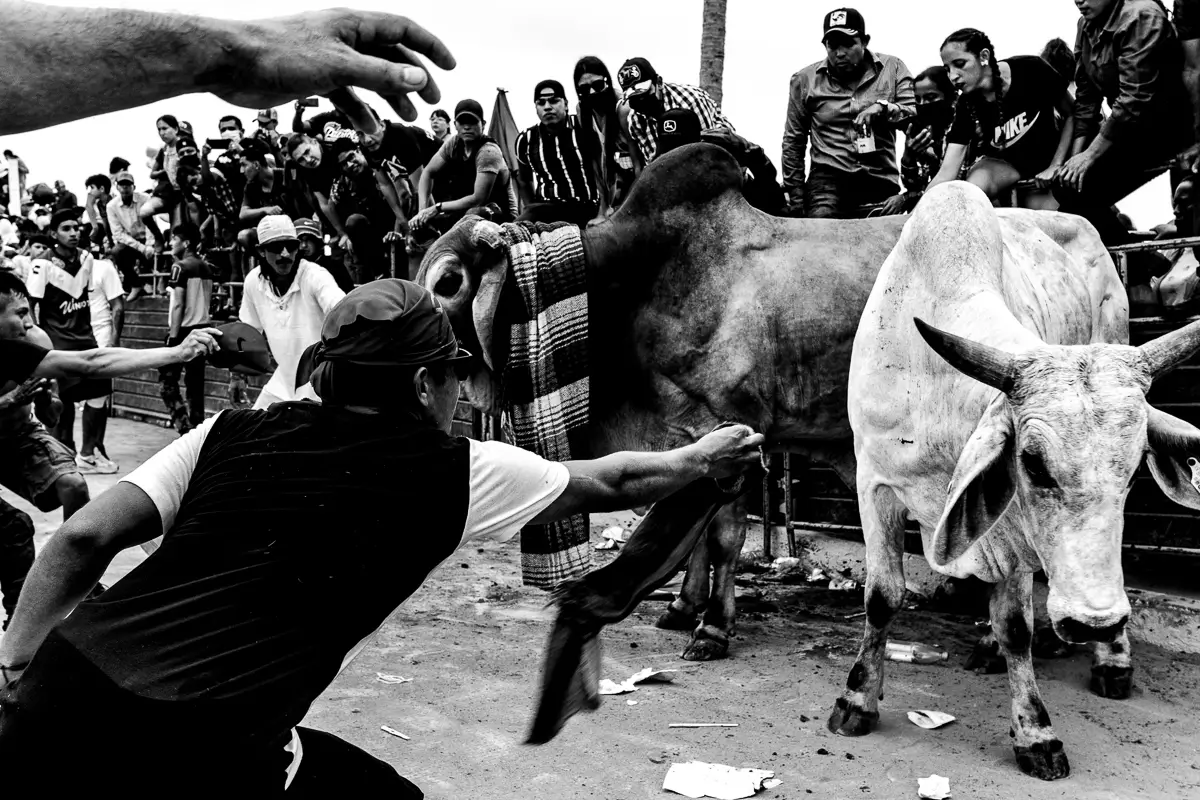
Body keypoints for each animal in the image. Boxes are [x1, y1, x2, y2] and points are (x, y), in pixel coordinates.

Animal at [835, 183, 1200, 782]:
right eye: (1032, 463)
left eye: (1130, 472)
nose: (1095, 621)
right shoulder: (875, 484)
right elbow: (882, 597)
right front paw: (856, 700)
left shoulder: (1009, 529)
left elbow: (1017, 627)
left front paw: (1036, 732)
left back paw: (1112, 661)